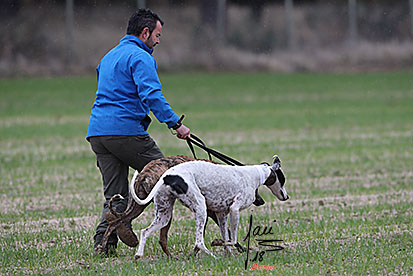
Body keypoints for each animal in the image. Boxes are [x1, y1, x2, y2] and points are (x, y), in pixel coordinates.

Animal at [96, 155, 264, 256]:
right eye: (256, 188)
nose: (261, 201)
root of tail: (145, 173)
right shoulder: (209, 212)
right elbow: (223, 233)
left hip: (139, 206)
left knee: (114, 222)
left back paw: (102, 247)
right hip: (163, 209)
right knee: (160, 238)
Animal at [132, 155, 286, 258]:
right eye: (283, 180)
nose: (286, 197)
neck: (255, 174)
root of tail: (167, 176)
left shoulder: (222, 214)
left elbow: (226, 236)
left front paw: (228, 254)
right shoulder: (234, 210)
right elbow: (233, 239)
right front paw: (218, 243)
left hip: (164, 215)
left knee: (145, 231)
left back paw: (139, 255)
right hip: (201, 208)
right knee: (199, 242)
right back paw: (212, 256)